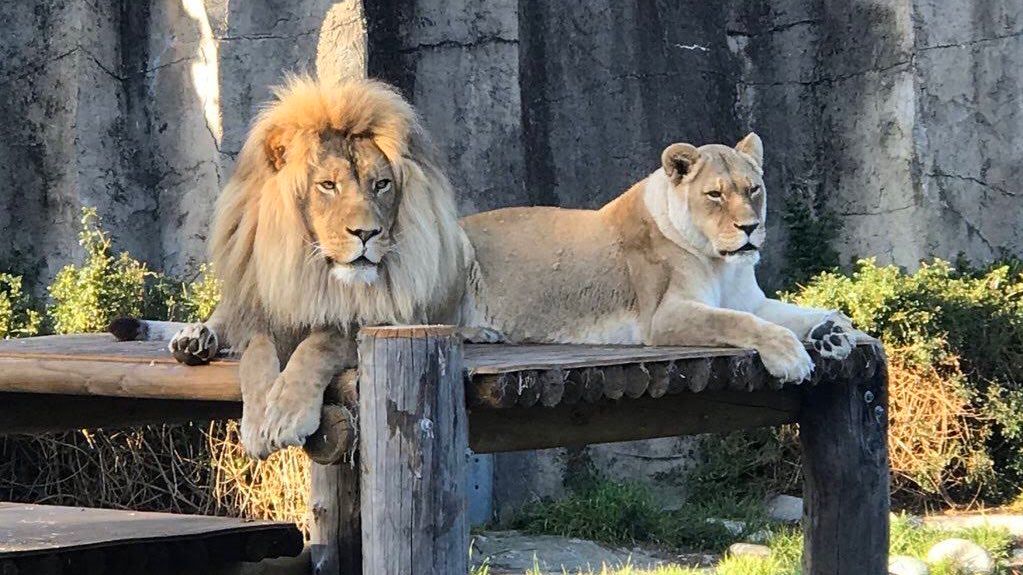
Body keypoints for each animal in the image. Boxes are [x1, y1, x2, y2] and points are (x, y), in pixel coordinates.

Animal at [113, 77, 473, 459]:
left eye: (381, 184)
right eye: (328, 185)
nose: (367, 233)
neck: (313, 273)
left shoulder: (389, 318)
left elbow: (320, 344)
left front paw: (285, 418)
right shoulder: (266, 315)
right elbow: (255, 356)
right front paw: (259, 422)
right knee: (223, 317)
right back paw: (194, 338)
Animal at [460, 133, 857, 381]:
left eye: (753, 189)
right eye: (715, 194)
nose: (750, 227)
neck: (722, 265)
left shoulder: (751, 301)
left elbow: (792, 313)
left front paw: (833, 330)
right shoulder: (664, 315)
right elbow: (735, 321)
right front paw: (790, 355)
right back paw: (481, 331)